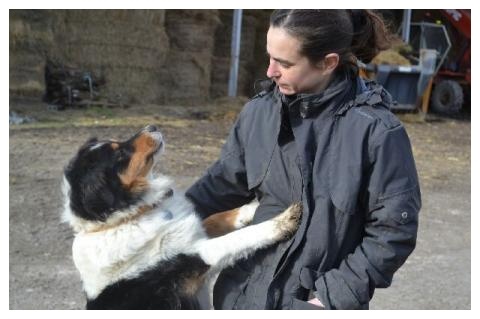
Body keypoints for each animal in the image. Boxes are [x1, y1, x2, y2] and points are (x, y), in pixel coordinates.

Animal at [62, 125, 302, 310]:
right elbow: (236, 239)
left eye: (117, 142)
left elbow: (214, 218)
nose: (152, 126)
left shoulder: (190, 232)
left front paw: (253, 208)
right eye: (120, 154)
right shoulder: (197, 257)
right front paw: (281, 222)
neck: (131, 216)